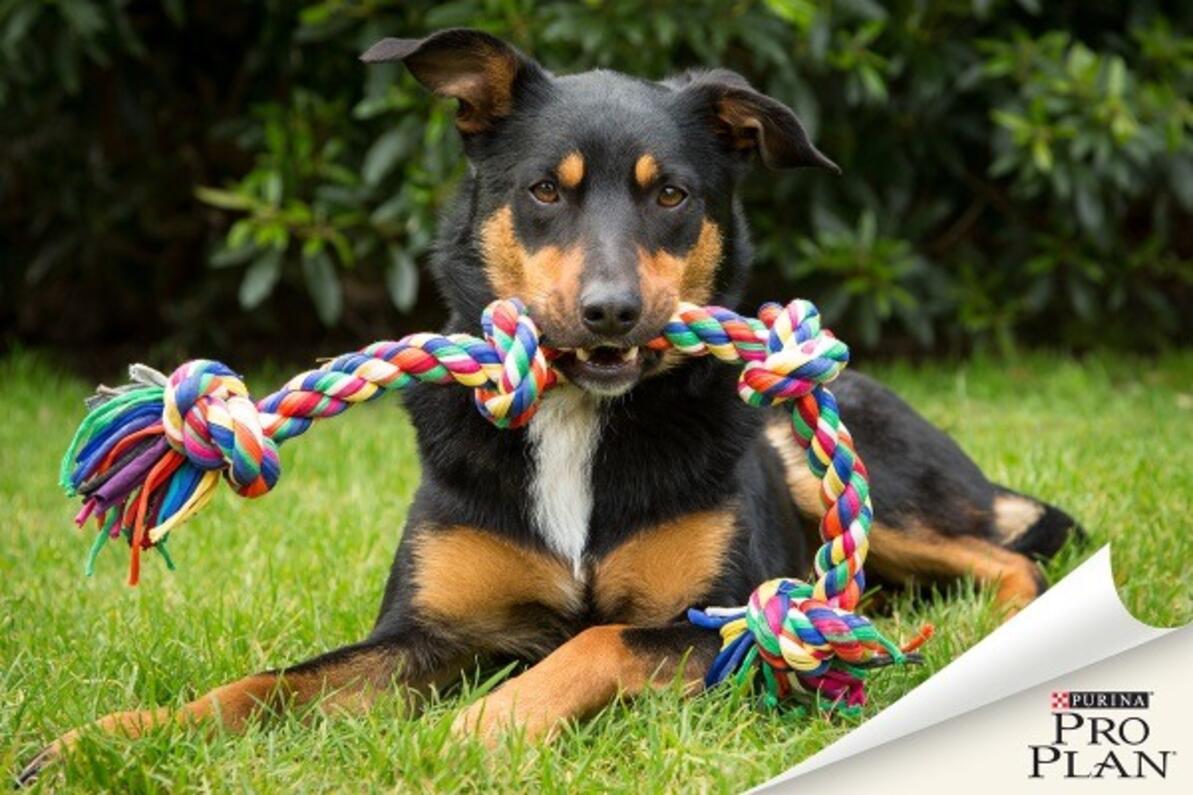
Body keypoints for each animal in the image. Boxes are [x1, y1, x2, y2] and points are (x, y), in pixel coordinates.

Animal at [16, 27, 1083, 783]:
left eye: (671, 196)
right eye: (542, 190)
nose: (610, 310)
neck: (577, 415)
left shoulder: (727, 622)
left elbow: (594, 641)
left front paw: (484, 724)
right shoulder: (428, 635)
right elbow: (270, 683)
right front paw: (113, 736)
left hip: (842, 479)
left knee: (1004, 557)